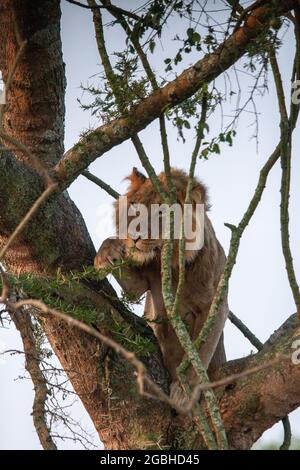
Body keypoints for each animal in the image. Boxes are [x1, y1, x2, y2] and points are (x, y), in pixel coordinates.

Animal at [95, 167, 229, 398]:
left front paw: (184, 393)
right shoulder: (139, 285)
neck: (172, 266)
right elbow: (132, 286)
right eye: (135, 207)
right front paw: (106, 254)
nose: (134, 236)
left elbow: (198, 353)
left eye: (161, 212)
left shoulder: (214, 306)